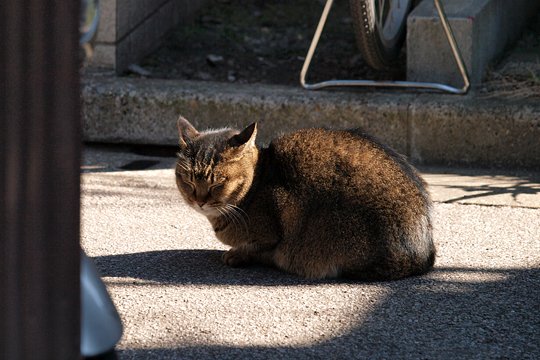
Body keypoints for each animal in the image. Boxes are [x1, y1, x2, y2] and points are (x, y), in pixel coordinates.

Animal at [175, 116, 436, 280]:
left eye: (218, 183)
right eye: (188, 180)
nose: (199, 200)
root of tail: (423, 253)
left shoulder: (279, 218)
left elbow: (256, 248)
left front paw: (235, 255)